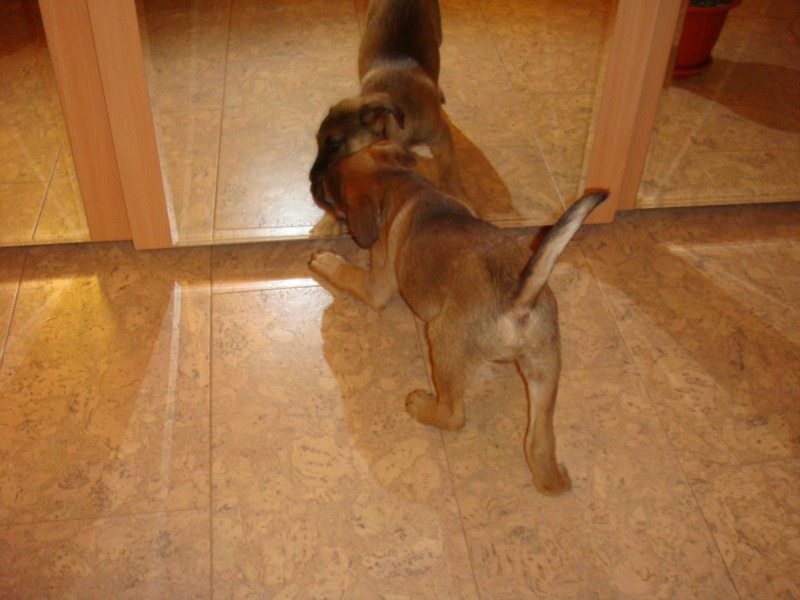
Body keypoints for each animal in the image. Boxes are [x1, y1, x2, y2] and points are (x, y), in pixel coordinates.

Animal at [308, 140, 607, 496]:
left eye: (328, 192)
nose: (311, 183)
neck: (401, 184)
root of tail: (519, 298)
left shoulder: (375, 286)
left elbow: (347, 273)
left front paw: (325, 260)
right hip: (545, 370)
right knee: (539, 444)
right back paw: (553, 479)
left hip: (443, 342)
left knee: (454, 415)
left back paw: (422, 406)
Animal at [309, 0, 466, 237]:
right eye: (318, 141)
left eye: (335, 143)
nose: (311, 177)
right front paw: (329, 221)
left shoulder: (440, 135)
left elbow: (449, 170)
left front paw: (457, 196)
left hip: (437, 32)